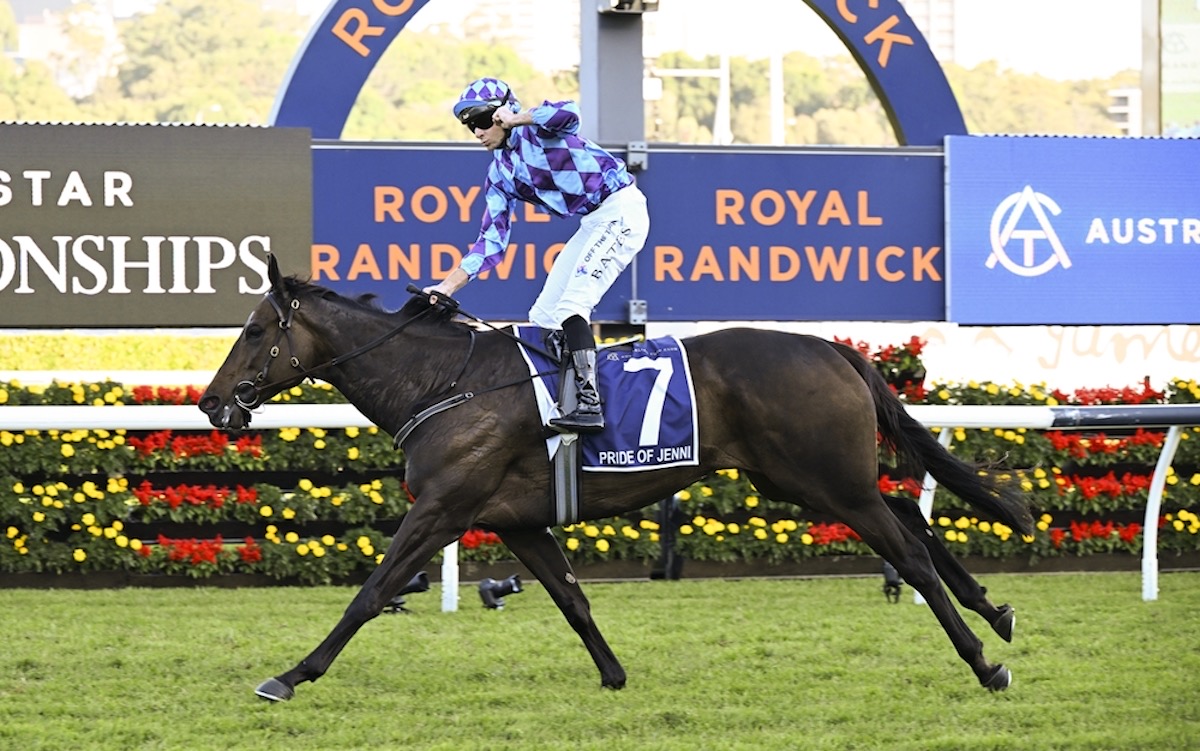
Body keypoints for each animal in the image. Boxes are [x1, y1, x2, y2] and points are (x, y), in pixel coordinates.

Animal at [201, 254, 1036, 700]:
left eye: (253, 330)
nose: (212, 402)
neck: (444, 382)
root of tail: (837, 349)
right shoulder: (516, 519)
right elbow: (572, 599)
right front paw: (613, 674)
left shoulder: (444, 506)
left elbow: (372, 591)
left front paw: (291, 673)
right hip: (802, 478)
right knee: (911, 511)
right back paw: (995, 610)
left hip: (827, 481)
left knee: (911, 552)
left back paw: (985, 659)